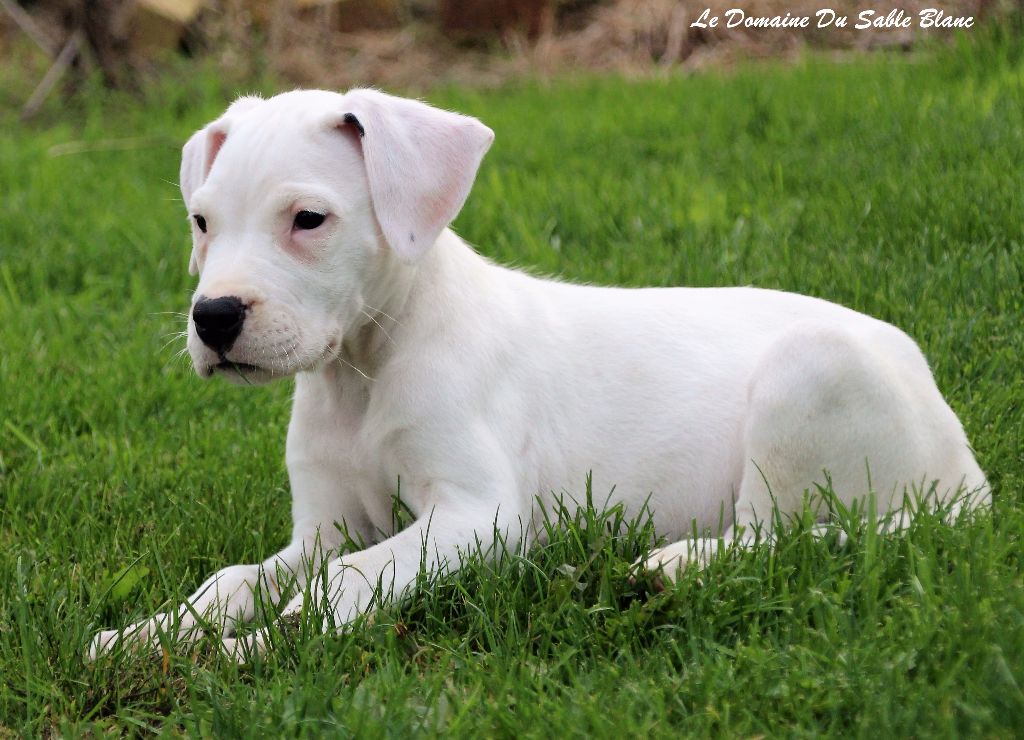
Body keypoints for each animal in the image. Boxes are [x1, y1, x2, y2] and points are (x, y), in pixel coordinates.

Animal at [92, 88, 987, 659]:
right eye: (201, 222)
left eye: (308, 219)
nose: (214, 319)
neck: (363, 372)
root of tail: (967, 466)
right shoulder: (324, 527)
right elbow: (233, 579)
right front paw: (151, 635)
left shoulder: (478, 516)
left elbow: (347, 584)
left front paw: (255, 648)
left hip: (811, 374)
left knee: (785, 536)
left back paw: (665, 565)